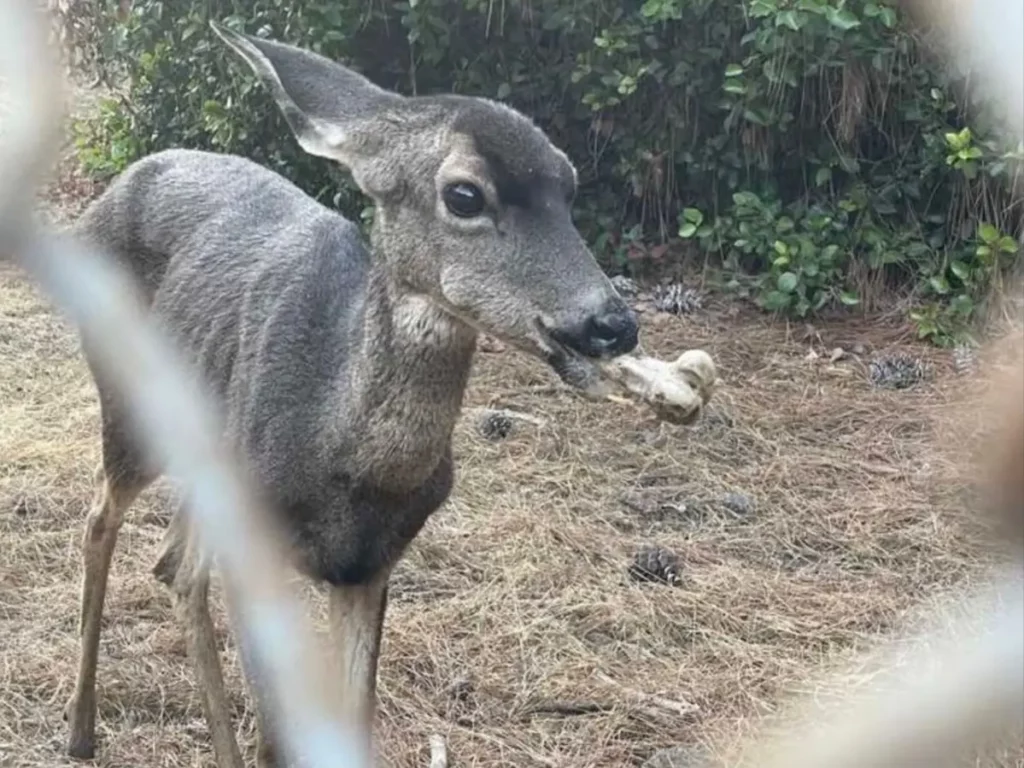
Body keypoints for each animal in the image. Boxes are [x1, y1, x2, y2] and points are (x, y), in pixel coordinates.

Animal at [61, 19, 720, 768]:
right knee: (102, 519)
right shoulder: (263, 551)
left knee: (174, 563)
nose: (610, 324)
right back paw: (80, 728)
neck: (340, 457)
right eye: (464, 194)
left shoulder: (373, 564)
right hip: (129, 402)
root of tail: (110, 192)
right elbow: (279, 738)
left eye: (569, 184)